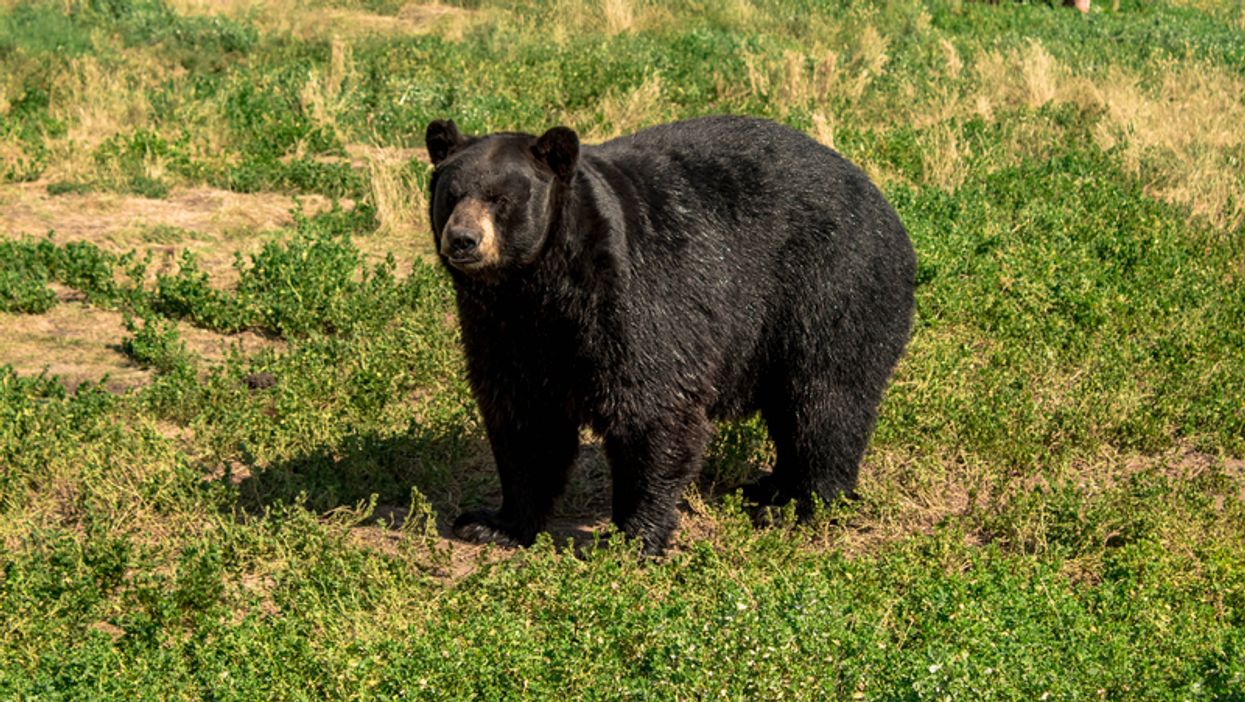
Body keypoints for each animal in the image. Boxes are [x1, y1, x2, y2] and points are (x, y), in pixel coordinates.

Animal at [425, 115, 915, 555]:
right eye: (451, 195)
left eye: (500, 199)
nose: (463, 239)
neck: (540, 287)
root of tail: (881, 200)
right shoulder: (501, 329)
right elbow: (525, 418)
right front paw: (492, 523)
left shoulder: (635, 299)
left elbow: (652, 406)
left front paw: (630, 537)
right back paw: (771, 486)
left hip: (830, 284)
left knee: (825, 399)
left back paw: (803, 503)